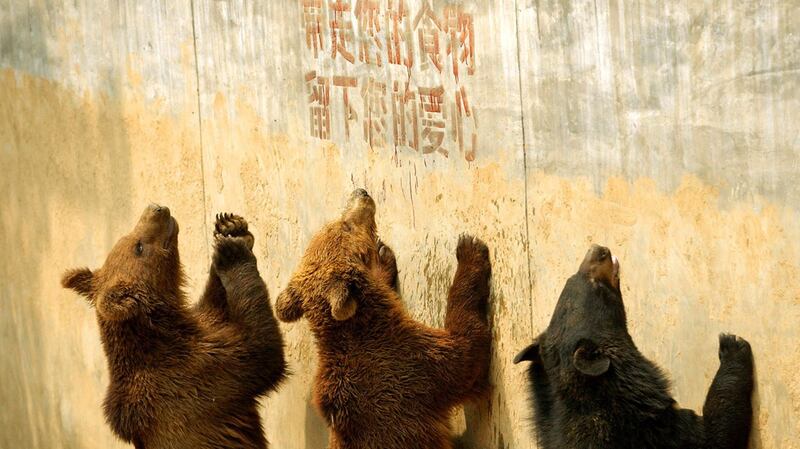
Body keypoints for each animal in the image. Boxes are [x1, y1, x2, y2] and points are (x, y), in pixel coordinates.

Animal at [63, 204, 288, 448]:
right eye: (138, 247)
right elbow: (261, 353)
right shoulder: (198, 376)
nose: (156, 208)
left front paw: (231, 226)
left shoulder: (202, 330)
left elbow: (215, 308)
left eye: (125, 238)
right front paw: (231, 253)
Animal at [276, 188, 494, 448]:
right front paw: (470, 250)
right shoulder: (414, 367)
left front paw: (383, 257)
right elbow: (466, 351)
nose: (361, 193)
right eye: (346, 225)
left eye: (337, 222)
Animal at [516, 245, 752, 448]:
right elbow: (716, 433)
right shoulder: (657, 430)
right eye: (597, 287)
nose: (599, 249)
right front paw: (732, 346)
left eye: (569, 278)